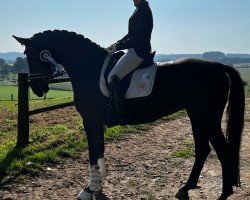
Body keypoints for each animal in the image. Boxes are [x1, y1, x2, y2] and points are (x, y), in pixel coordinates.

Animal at [13, 30, 244, 200]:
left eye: (30, 55)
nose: (37, 89)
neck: (88, 67)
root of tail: (219, 67)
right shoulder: (96, 122)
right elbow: (99, 152)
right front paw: (97, 188)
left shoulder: (90, 120)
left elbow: (93, 154)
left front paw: (88, 190)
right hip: (197, 117)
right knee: (203, 150)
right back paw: (186, 188)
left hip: (206, 118)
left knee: (222, 150)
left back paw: (223, 194)